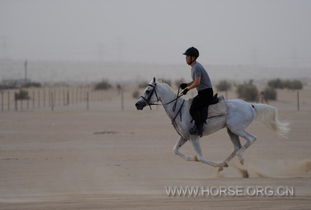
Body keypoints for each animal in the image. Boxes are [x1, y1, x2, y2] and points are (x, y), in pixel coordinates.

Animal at [135, 78, 292, 170]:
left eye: (148, 90)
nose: (137, 104)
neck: (179, 108)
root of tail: (250, 105)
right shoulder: (184, 137)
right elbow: (175, 150)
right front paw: (191, 158)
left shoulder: (193, 137)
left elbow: (201, 157)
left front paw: (207, 161)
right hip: (231, 131)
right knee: (237, 147)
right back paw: (224, 164)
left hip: (237, 128)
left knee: (251, 139)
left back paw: (238, 159)